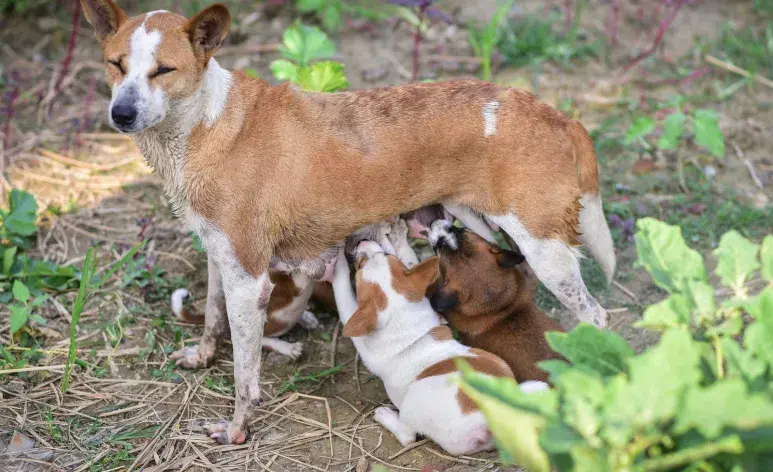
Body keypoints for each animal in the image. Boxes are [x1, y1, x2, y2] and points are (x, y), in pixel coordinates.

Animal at [330, 240, 544, 458]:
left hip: (415, 399)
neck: (403, 315)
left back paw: (385, 416)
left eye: (360, 266)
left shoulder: (359, 330)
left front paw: (336, 265)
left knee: (408, 436)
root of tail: (497, 417)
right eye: (386, 254)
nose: (362, 241)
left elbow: (343, 298)